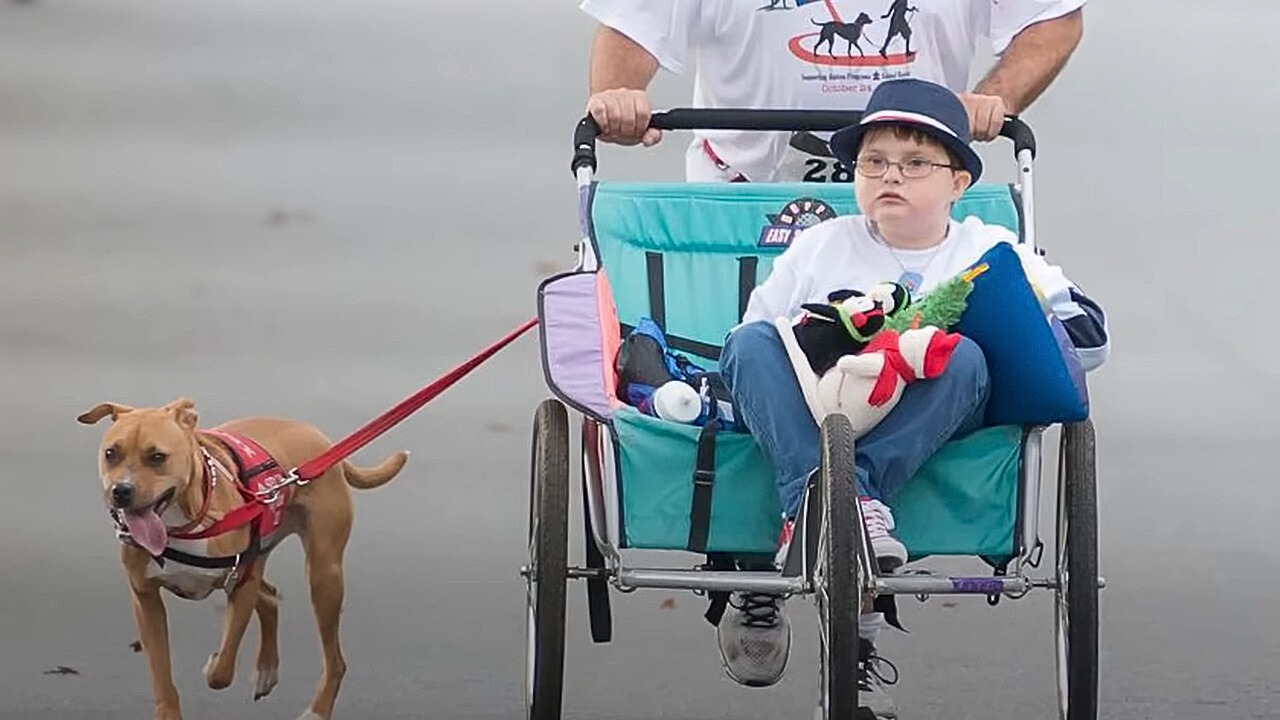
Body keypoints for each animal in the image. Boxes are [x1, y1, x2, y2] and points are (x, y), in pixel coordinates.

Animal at [77, 394, 407, 717]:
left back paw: (317, 709)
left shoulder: (241, 582)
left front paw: (214, 662)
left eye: (157, 457)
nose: (121, 491)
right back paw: (266, 671)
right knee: (270, 597)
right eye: (111, 453)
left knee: (335, 659)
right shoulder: (146, 600)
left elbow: (221, 670)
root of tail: (320, 439)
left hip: (324, 576)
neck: (183, 523)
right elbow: (162, 678)